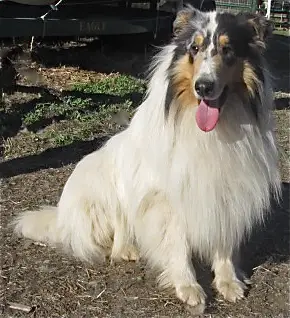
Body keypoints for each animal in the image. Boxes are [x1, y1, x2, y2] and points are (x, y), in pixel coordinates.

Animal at [13, 6, 280, 314]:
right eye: (194, 48)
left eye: (228, 50)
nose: (203, 87)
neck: (212, 130)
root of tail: (61, 216)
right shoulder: (165, 199)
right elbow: (177, 245)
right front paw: (188, 286)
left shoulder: (227, 191)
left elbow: (222, 241)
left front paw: (228, 282)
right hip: (106, 187)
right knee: (116, 234)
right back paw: (128, 250)